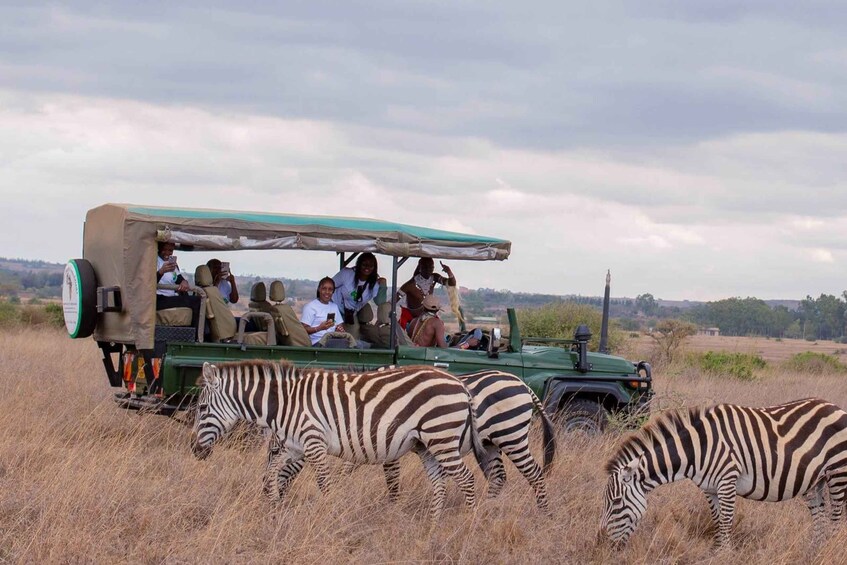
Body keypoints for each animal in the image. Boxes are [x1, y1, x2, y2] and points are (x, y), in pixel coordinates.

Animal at [191, 360, 487, 521]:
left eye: (202, 408)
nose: (195, 450)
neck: (285, 404)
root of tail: (461, 385)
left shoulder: (313, 442)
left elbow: (324, 484)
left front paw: (327, 515)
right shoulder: (293, 447)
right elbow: (274, 474)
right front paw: (274, 506)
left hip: (442, 437)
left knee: (466, 479)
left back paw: (469, 522)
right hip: (426, 446)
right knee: (439, 483)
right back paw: (433, 525)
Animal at [265, 369, 557, 511]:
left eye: (273, 452)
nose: (267, 501)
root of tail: (521, 383)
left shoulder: (381, 440)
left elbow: (390, 479)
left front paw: (392, 509)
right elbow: (349, 471)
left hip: (511, 436)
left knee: (534, 473)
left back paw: (544, 514)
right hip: (489, 444)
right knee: (498, 477)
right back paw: (487, 508)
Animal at [600, 398, 847, 550]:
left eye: (616, 501)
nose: (601, 543)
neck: (697, 448)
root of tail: (835, 407)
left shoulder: (728, 480)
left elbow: (727, 521)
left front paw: (724, 554)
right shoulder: (709, 489)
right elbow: (717, 520)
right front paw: (717, 551)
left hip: (838, 473)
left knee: (836, 517)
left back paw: (829, 548)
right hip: (816, 481)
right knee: (819, 518)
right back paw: (814, 551)